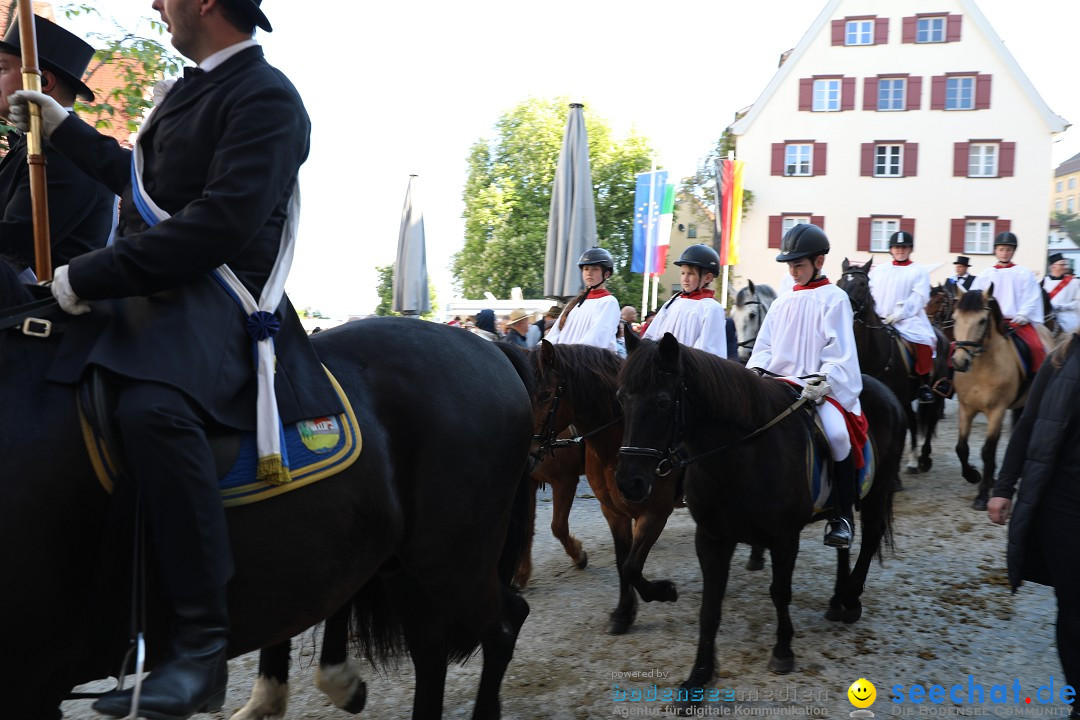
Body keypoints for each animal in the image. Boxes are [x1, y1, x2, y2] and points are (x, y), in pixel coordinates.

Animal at [0, 260, 535, 720]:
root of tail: (488, 345)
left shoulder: (35, 675)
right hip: (402, 564)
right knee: (431, 648)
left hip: (452, 558)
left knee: (504, 624)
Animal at [617, 334, 902, 686]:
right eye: (621, 399)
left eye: (661, 402)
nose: (629, 483)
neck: (740, 455)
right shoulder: (711, 538)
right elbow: (708, 606)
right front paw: (699, 673)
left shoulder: (785, 539)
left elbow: (780, 592)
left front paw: (782, 651)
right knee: (843, 539)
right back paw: (837, 600)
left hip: (878, 490)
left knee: (871, 537)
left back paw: (850, 600)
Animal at [838, 260, 950, 479]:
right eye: (840, 281)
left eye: (863, 284)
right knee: (913, 420)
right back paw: (913, 461)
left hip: (935, 391)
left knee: (930, 417)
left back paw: (924, 458)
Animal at [950, 284, 1049, 509]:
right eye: (955, 317)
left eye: (982, 321)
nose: (960, 362)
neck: (981, 368)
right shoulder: (966, 408)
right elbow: (962, 447)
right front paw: (974, 475)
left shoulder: (997, 410)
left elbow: (987, 450)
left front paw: (981, 495)